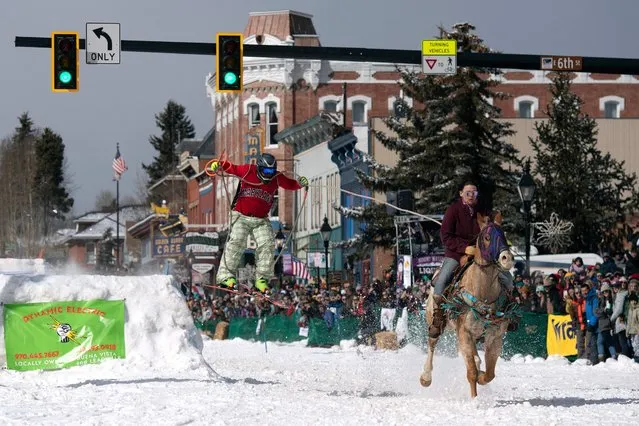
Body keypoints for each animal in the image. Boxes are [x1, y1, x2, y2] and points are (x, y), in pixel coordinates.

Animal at [422, 215, 516, 398]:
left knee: (476, 358)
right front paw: (474, 399)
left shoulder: (495, 338)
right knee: (432, 343)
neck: (483, 294)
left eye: (504, 235)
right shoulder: (465, 334)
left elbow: (489, 374)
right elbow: (471, 372)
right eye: (487, 237)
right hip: (435, 321)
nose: (507, 258)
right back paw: (426, 377)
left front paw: (482, 376)